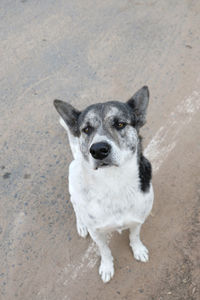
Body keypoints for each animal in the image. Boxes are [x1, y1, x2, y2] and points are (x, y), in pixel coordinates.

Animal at [53, 85, 153, 282]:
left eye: (120, 124)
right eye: (86, 129)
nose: (98, 150)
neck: (114, 183)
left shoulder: (138, 219)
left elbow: (134, 235)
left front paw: (138, 249)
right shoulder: (97, 233)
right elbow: (104, 250)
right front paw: (107, 267)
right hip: (73, 182)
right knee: (76, 207)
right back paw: (81, 224)